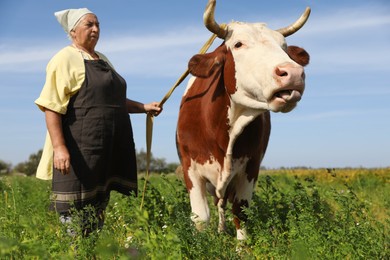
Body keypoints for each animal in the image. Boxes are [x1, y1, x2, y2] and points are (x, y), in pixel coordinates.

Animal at [177, 0, 310, 240]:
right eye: (238, 44)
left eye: (284, 47)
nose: (294, 73)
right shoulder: (189, 167)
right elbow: (200, 218)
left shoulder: (251, 166)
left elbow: (241, 211)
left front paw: (241, 246)